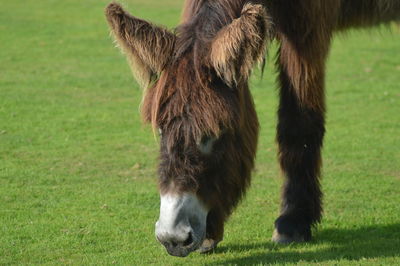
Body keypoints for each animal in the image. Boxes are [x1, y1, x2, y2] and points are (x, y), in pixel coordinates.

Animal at [106, 0, 400, 258]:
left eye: (215, 134)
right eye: (161, 130)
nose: (174, 238)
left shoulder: (307, 30)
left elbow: (299, 124)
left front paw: (293, 222)